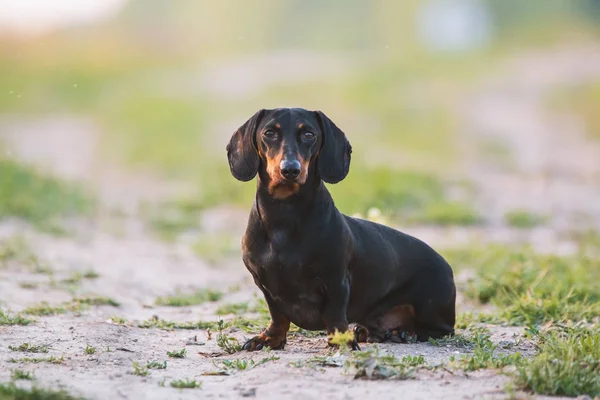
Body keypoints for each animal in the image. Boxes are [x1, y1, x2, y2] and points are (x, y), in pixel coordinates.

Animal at [225, 107, 454, 350]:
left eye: (309, 134)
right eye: (269, 133)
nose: (290, 170)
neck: (284, 214)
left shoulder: (336, 280)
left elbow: (334, 314)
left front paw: (342, 340)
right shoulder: (265, 284)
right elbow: (278, 315)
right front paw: (270, 338)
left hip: (430, 307)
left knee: (440, 329)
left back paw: (403, 333)